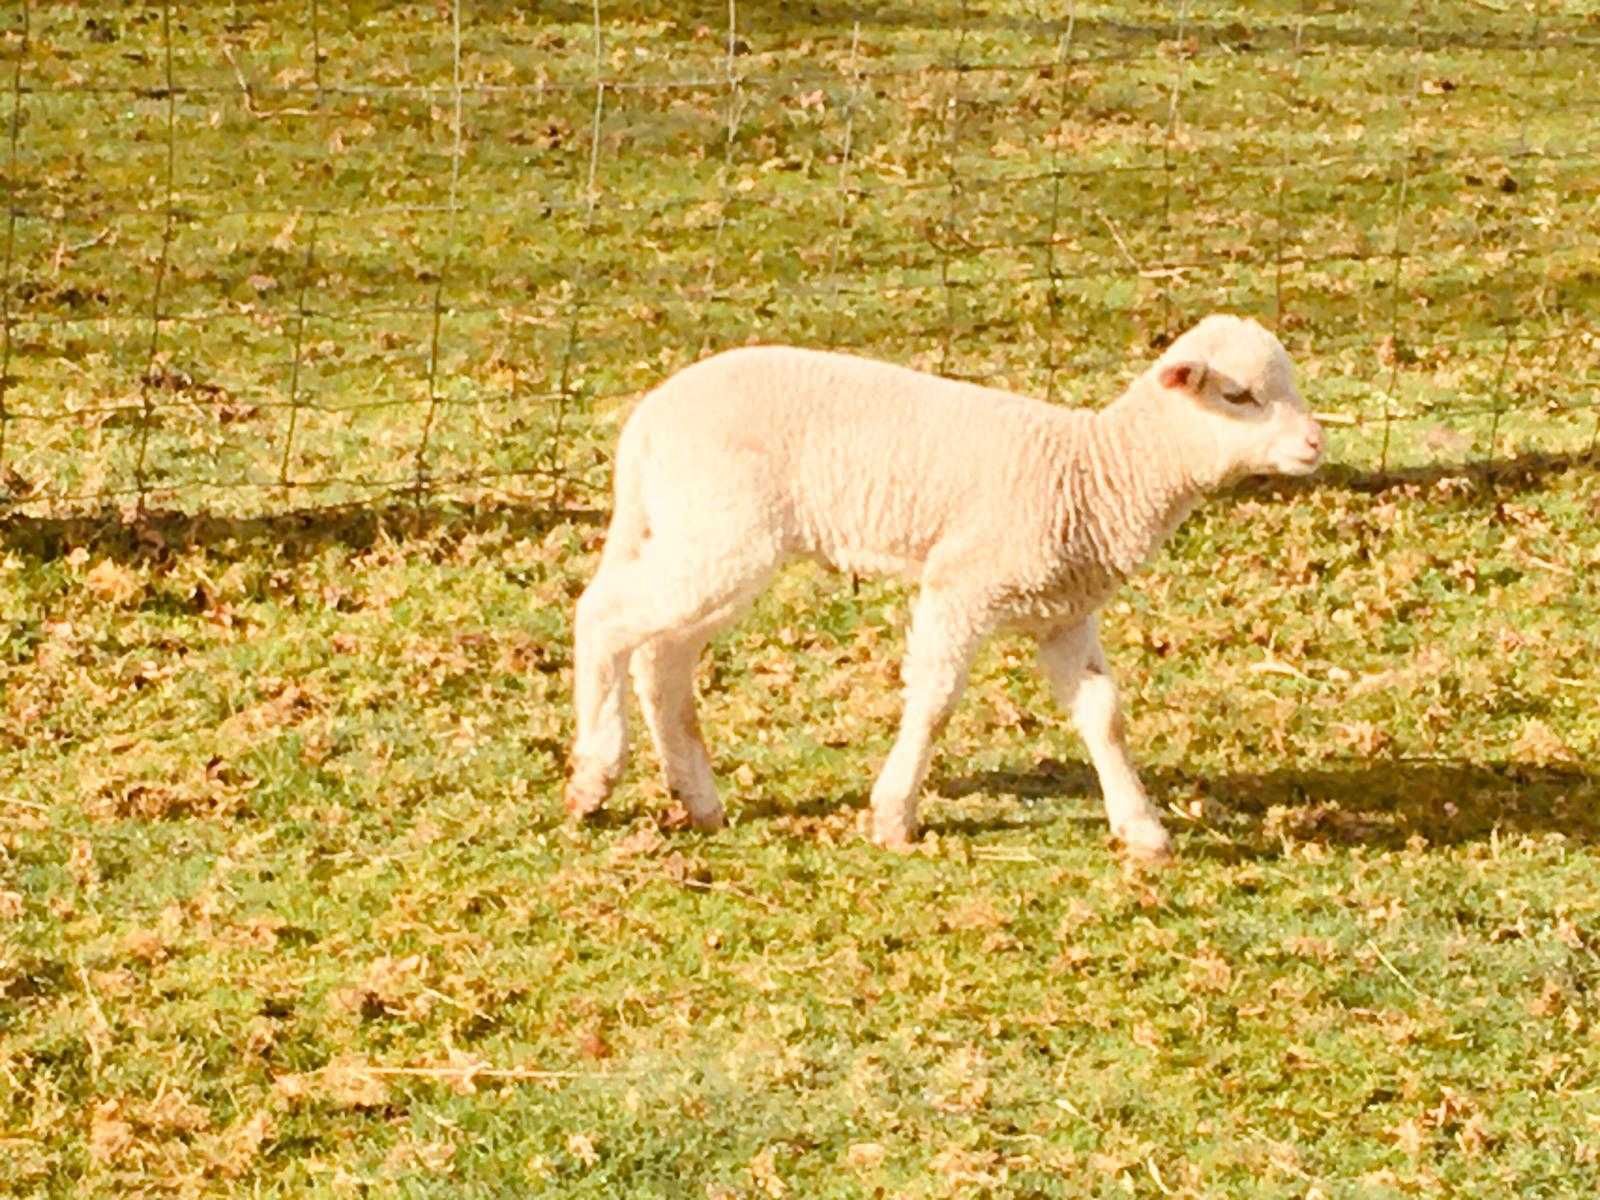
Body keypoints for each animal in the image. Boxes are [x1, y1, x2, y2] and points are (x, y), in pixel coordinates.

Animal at [563, 316, 1324, 864]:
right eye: (1238, 395)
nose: (1317, 443)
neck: (1095, 473)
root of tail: (647, 422)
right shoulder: (962, 584)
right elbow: (934, 701)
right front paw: (894, 815)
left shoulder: (1062, 612)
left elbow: (1103, 714)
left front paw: (1142, 830)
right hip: (723, 531)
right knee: (604, 617)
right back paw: (594, 777)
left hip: (704, 534)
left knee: (661, 655)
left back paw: (698, 799)